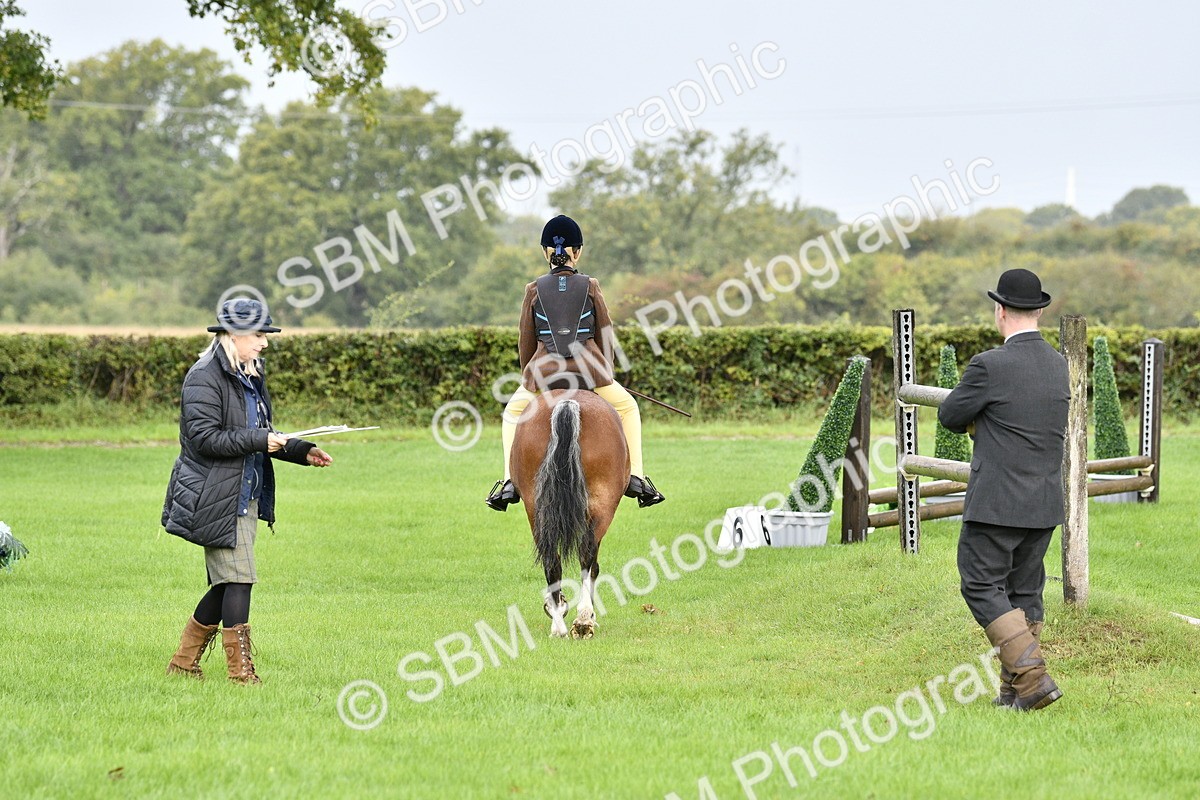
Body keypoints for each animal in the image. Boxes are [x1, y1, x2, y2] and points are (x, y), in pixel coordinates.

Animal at [510, 388, 630, 639]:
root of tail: (567, 403)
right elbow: (594, 565)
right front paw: (590, 614)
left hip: (535, 508)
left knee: (551, 560)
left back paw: (558, 623)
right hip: (603, 505)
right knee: (587, 555)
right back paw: (583, 618)